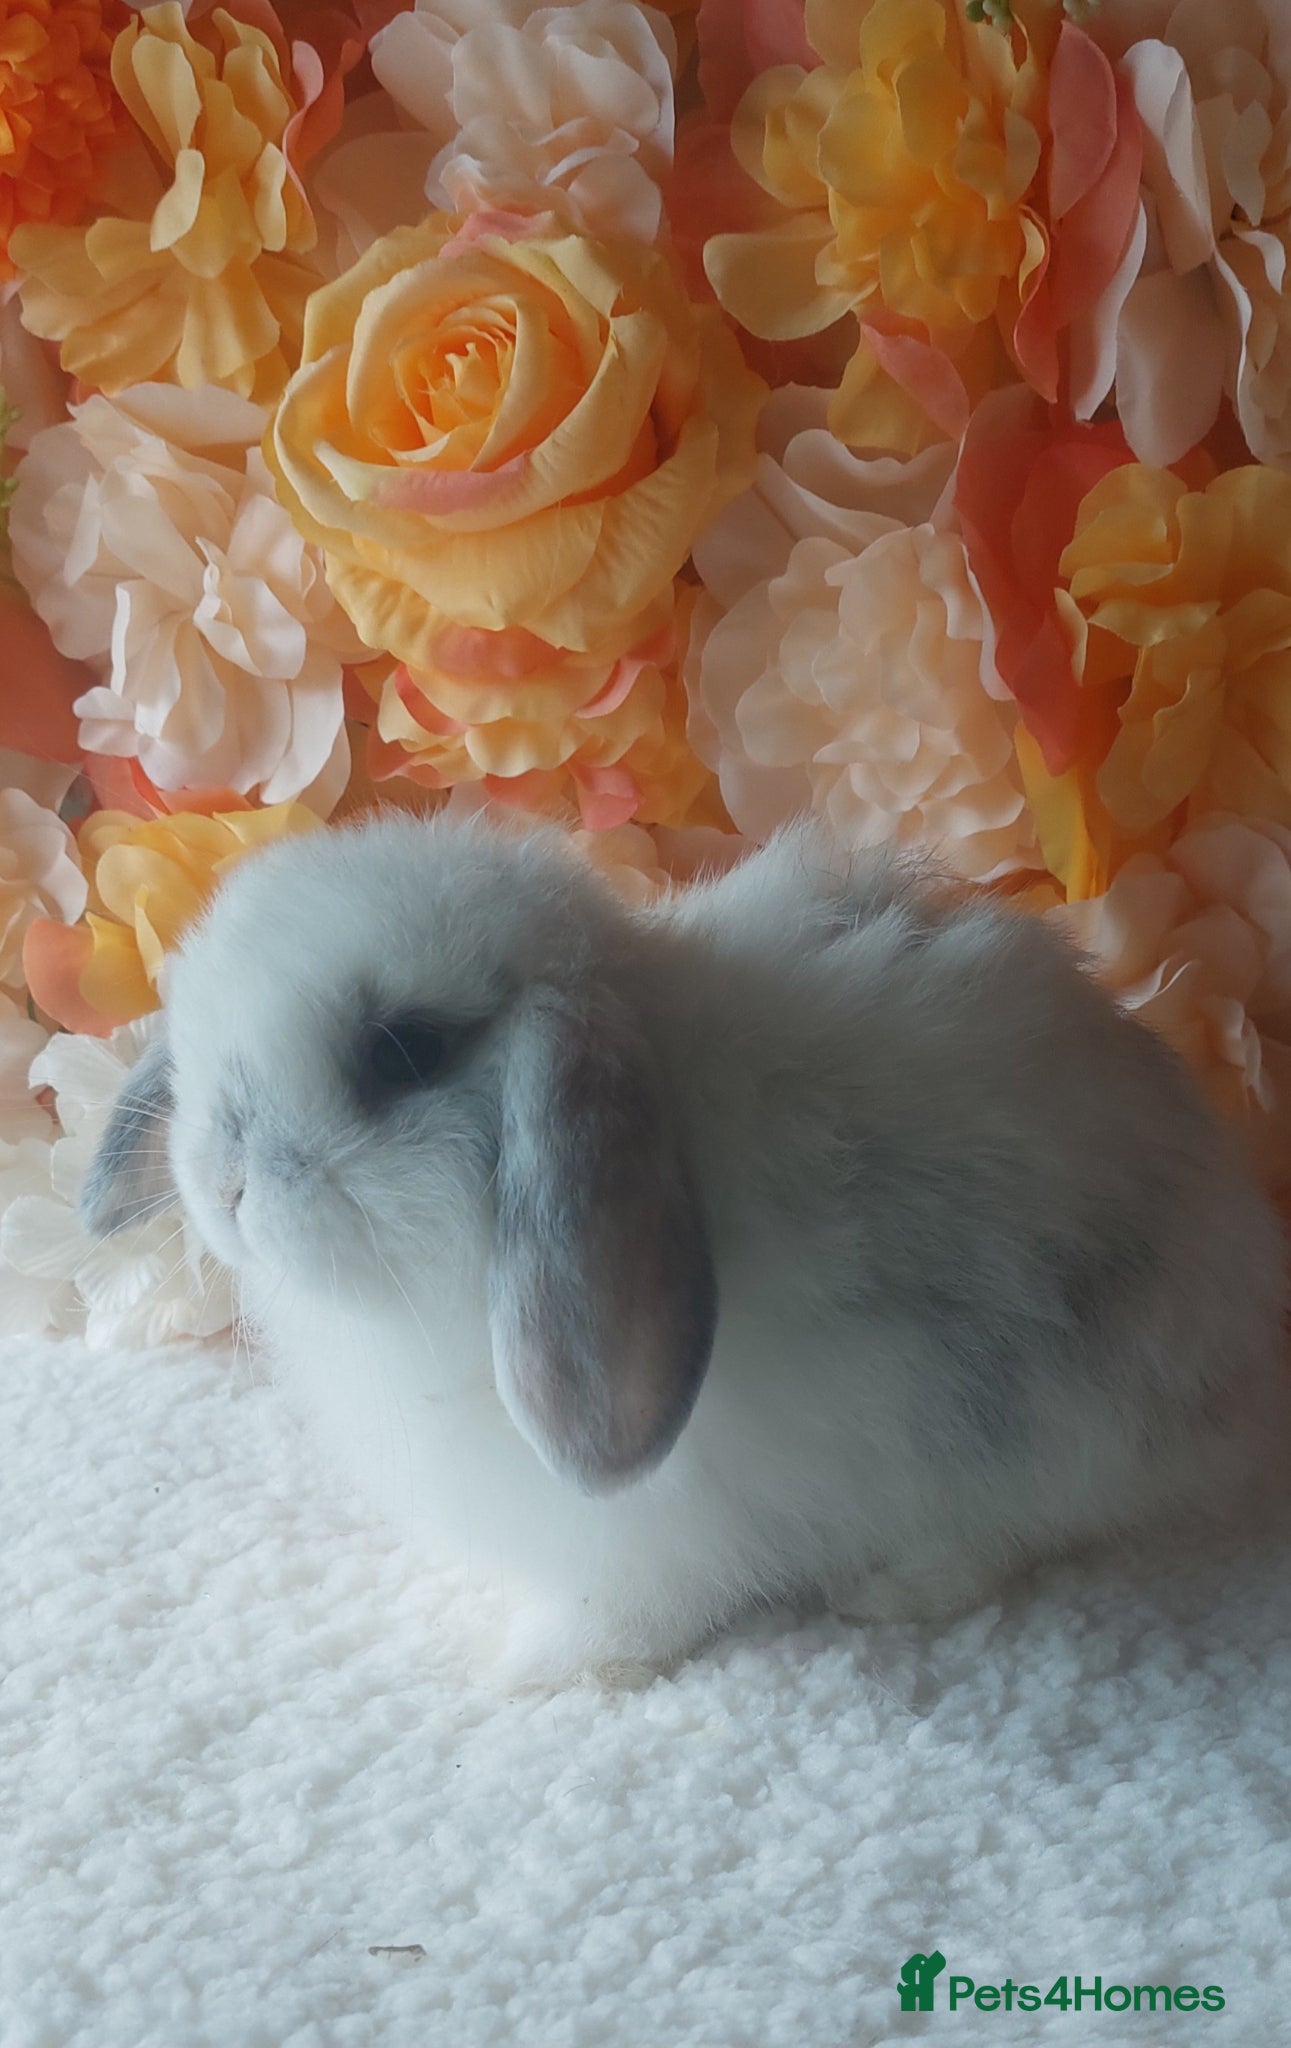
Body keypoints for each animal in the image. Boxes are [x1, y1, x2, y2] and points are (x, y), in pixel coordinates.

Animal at [81, 812, 1290, 1686]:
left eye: (403, 1051)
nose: (223, 1180)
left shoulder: (641, 1540)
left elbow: (623, 1615)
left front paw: (531, 1669)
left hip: (1049, 1421)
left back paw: (893, 1588)